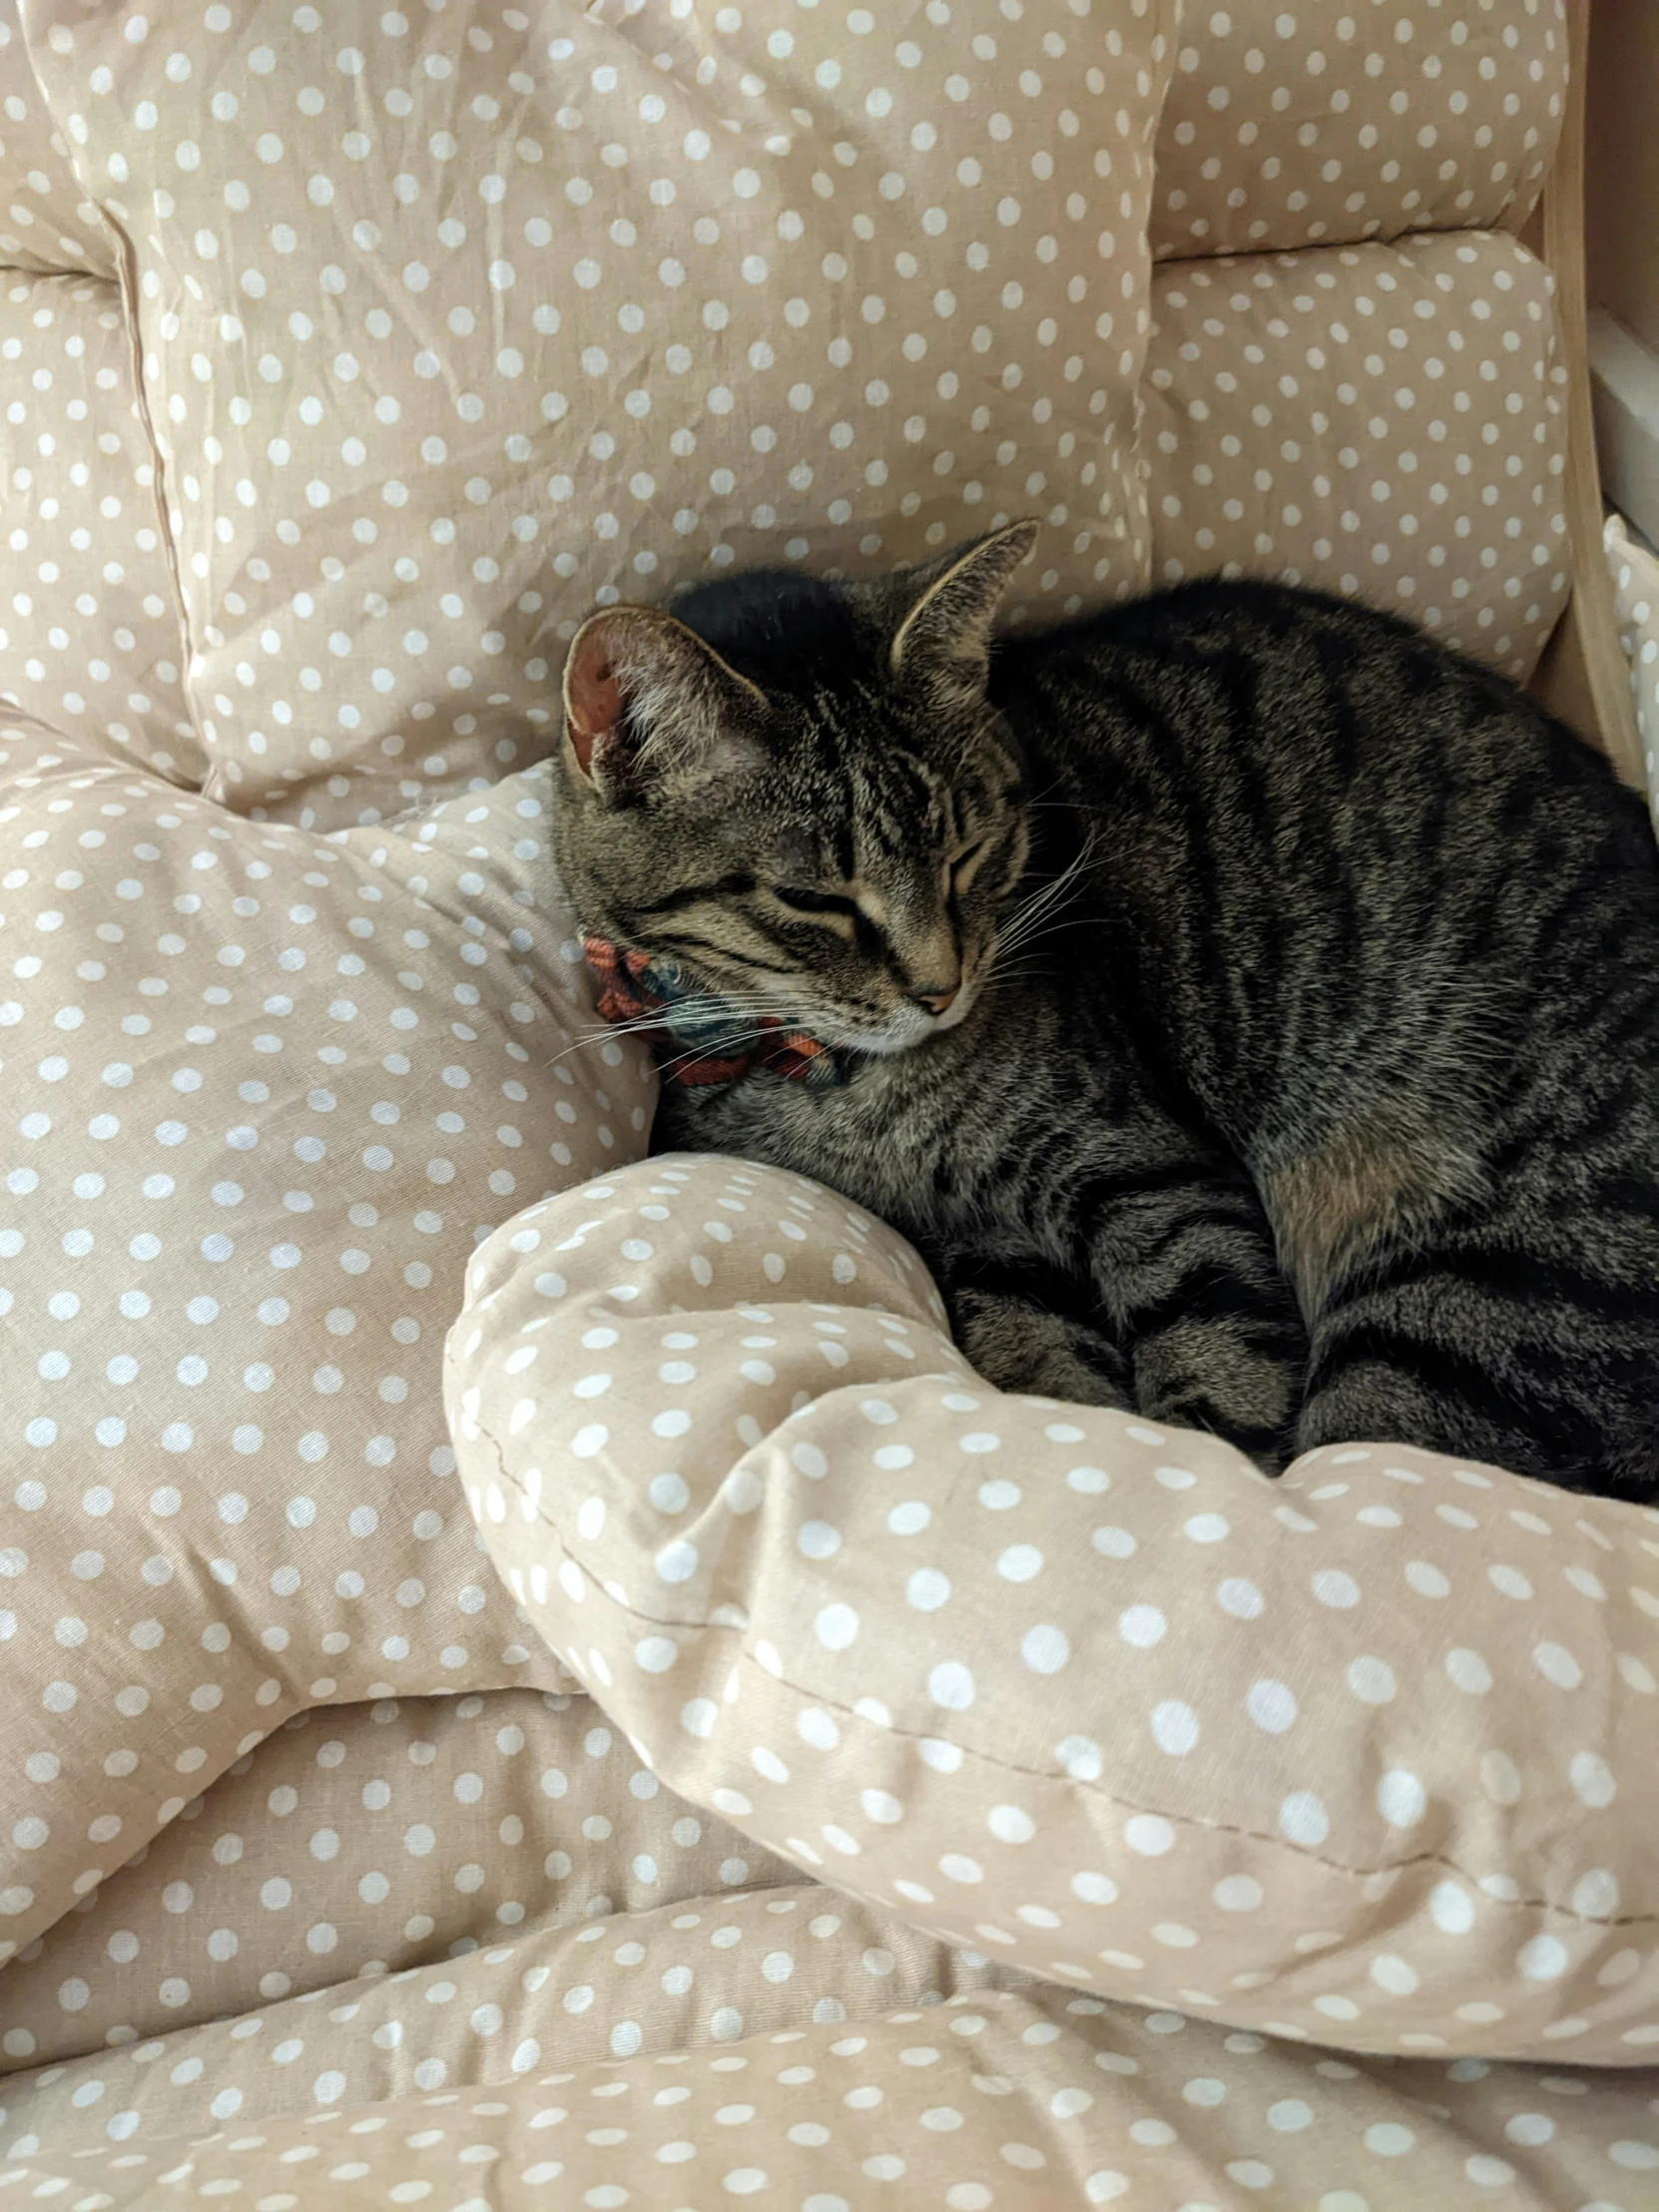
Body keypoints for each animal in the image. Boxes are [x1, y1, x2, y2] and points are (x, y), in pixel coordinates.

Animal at [553, 526, 1659, 1503]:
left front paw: (1184, 1468)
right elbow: (1039, 1359)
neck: (839, 1087)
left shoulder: (1155, 1176)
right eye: (814, 898)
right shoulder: (986, 1248)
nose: (940, 987)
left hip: (1466, 1300)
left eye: (967, 853)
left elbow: (1214, 1379)